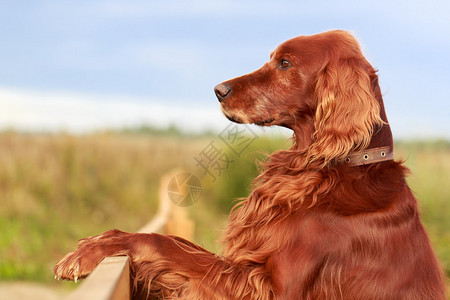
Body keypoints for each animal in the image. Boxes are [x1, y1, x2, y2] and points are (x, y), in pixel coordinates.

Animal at [54, 29, 444, 298]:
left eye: (285, 63)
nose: (219, 90)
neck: (334, 165)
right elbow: (181, 244)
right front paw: (100, 239)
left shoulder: (270, 289)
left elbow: (168, 245)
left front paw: (96, 249)